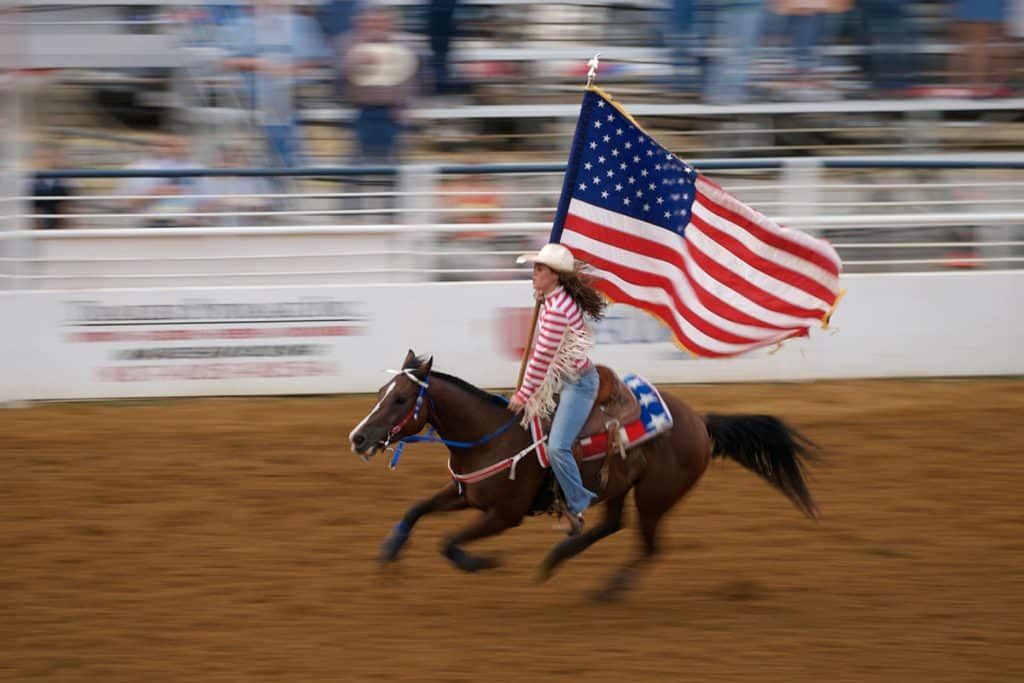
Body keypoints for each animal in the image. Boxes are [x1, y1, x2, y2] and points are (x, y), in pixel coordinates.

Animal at [348, 352, 819, 598]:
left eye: (401, 399)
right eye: (381, 393)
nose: (358, 437)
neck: (489, 436)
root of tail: (701, 423)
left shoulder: (504, 515)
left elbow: (448, 543)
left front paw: (482, 562)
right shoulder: (464, 493)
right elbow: (415, 509)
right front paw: (388, 553)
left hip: (655, 495)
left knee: (648, 546)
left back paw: (607, 589)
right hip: (618, 486)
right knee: (612, 525)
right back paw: (556, 559)